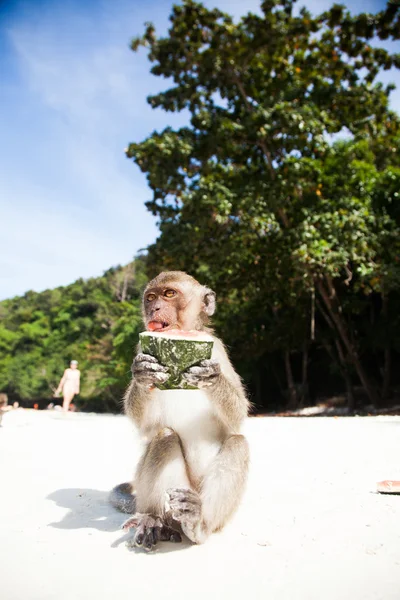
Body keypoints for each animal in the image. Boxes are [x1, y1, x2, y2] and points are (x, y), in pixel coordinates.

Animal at [108, 270, 247, 552]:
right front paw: (143, 373)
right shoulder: (141, 349)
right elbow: (146, 425)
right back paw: (154, 520)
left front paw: (212, 376)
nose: (154, 308)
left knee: (238, 443)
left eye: (169, 294)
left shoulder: (217, 348)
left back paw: (198, 523)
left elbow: (237, 418)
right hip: (162, 495)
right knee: (164, 436)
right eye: (151, 297)